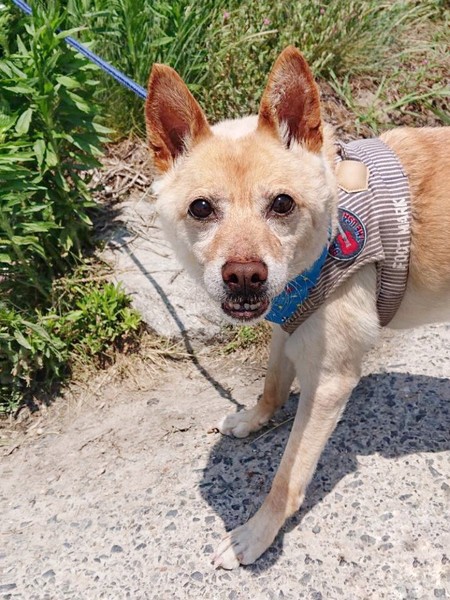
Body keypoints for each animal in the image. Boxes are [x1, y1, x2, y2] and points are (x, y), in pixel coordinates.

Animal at [145, 46, 450, 569]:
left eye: (282, 204)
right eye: (202, 208)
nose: (245, 274)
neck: (330, 230)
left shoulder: (329, 382)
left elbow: (287, 477)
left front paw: (257, 533)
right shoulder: (288, 325)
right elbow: (271, 384)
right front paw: (253, 418)